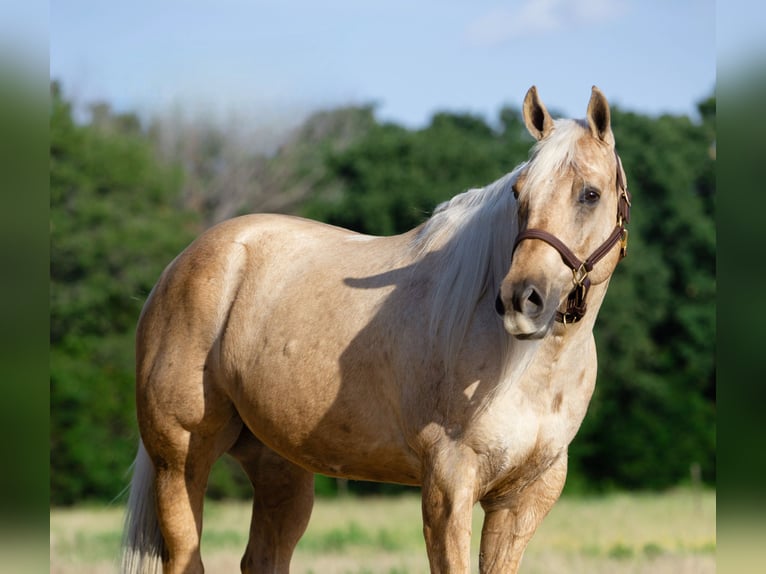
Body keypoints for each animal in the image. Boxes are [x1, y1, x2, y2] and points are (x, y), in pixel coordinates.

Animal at [123, 86, 632, 574]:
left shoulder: (524, 498)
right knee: (185, 557)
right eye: (518, 193)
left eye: (590, 194)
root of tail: (181, 265)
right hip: (179, 459)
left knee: (263, 558)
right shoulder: (448, 485)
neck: (525, 370)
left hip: (279, 466)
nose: (520, 300)